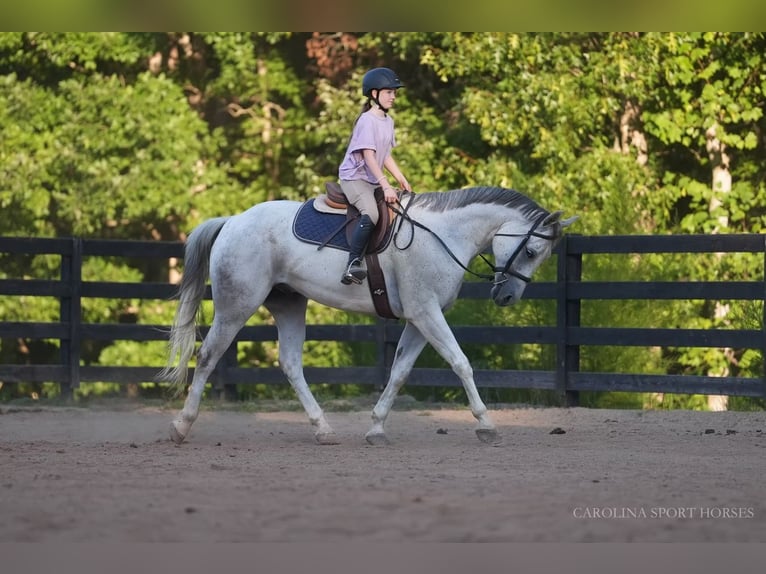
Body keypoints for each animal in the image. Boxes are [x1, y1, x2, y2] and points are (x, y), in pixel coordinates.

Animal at [161, 186, 577, 445]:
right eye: (531, 250)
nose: (506, 296)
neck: (444, 235)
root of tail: (232, 221)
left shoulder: (419, 320)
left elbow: (400, 372)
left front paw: (376, 428)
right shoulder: (427, 314)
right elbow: (461, 363)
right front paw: (487, 425)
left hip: (289, 303)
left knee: (291, 364)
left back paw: (323, 429)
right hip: (237, 305)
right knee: (209, 356)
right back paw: (181, 426)